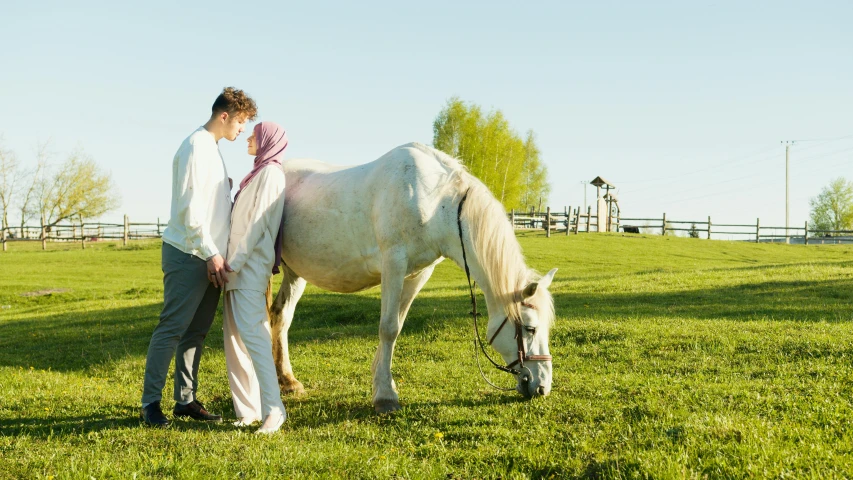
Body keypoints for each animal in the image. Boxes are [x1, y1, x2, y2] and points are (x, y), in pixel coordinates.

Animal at [268, 142, 560, 412]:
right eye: (530, 328)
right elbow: (387, 328)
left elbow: (396, 326)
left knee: (281, 316)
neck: (436, 202)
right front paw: (385, 397)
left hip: (295, 272)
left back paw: (288, 381)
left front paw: (381, 381)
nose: (543, 387)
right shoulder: (393, 266)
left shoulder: (417, 275)